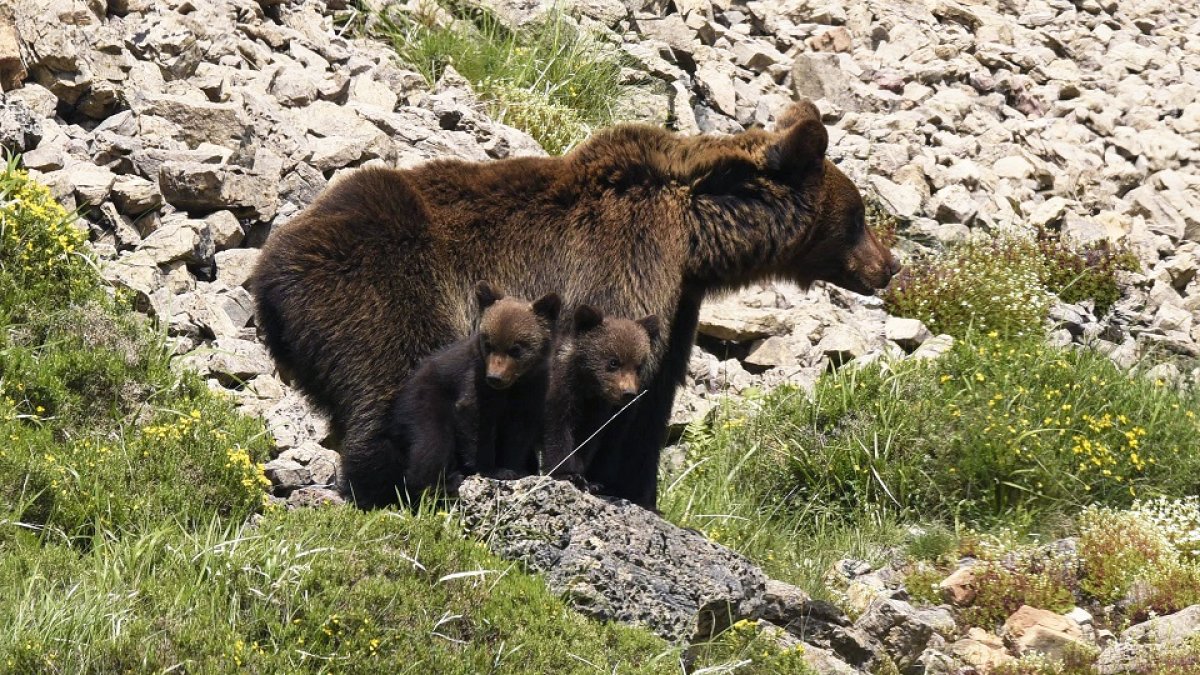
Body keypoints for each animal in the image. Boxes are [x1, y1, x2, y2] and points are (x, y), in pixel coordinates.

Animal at [253, 99, 902, 506]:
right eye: (859, 216)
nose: (890, 265)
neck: (695, 239)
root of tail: (267, 266)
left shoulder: (677, 305)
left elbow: (651, 399)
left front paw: (637, 491)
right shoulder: (624, 263)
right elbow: (595, 390)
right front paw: (584, 474)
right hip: (378, 289)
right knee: (396, 379)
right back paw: (398, 483)